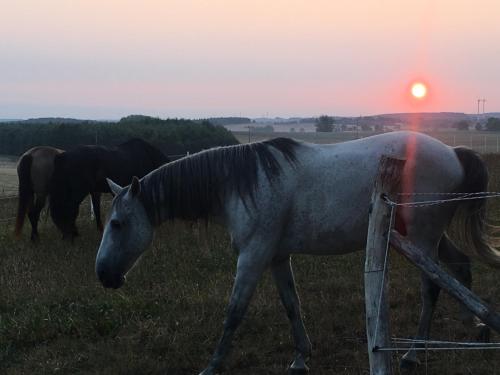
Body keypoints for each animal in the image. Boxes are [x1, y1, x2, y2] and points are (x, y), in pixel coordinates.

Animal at [94, 132, 500, 375]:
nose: (103, 275)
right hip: (423, 237)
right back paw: (476, 326)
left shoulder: (253, 255)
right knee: (459, 267)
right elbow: (292, 305)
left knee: (432, 288)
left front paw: (212, 365)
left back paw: (414, 353)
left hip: (421, 238)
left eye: (117, 224)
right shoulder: (275, 257)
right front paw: (301, 358)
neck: (240, 183)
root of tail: (453, 152)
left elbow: (234, 312)